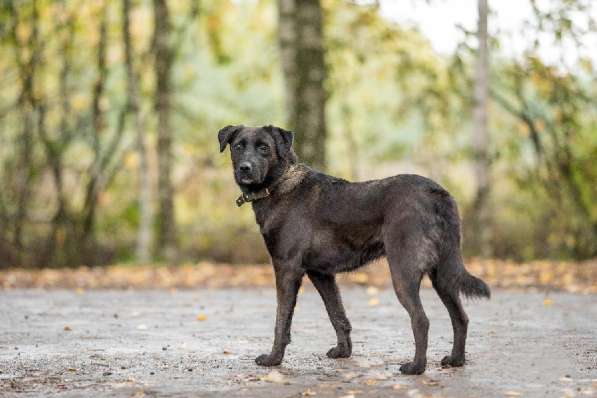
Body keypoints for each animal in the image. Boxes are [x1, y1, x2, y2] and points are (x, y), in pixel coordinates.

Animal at [218, 123, 488, 374]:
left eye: (264, 147)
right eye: (238, 146)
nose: (245, 168)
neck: (280, 183)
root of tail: (437, 192)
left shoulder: (287, 269)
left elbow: (281, 319)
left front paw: (273, 359)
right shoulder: (321, 274)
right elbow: (337, 314)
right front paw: (343, 351)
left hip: (404, 272)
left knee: (421, 320)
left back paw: (416, 367)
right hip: (443, 274)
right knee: (460, 317)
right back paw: (456, 360)